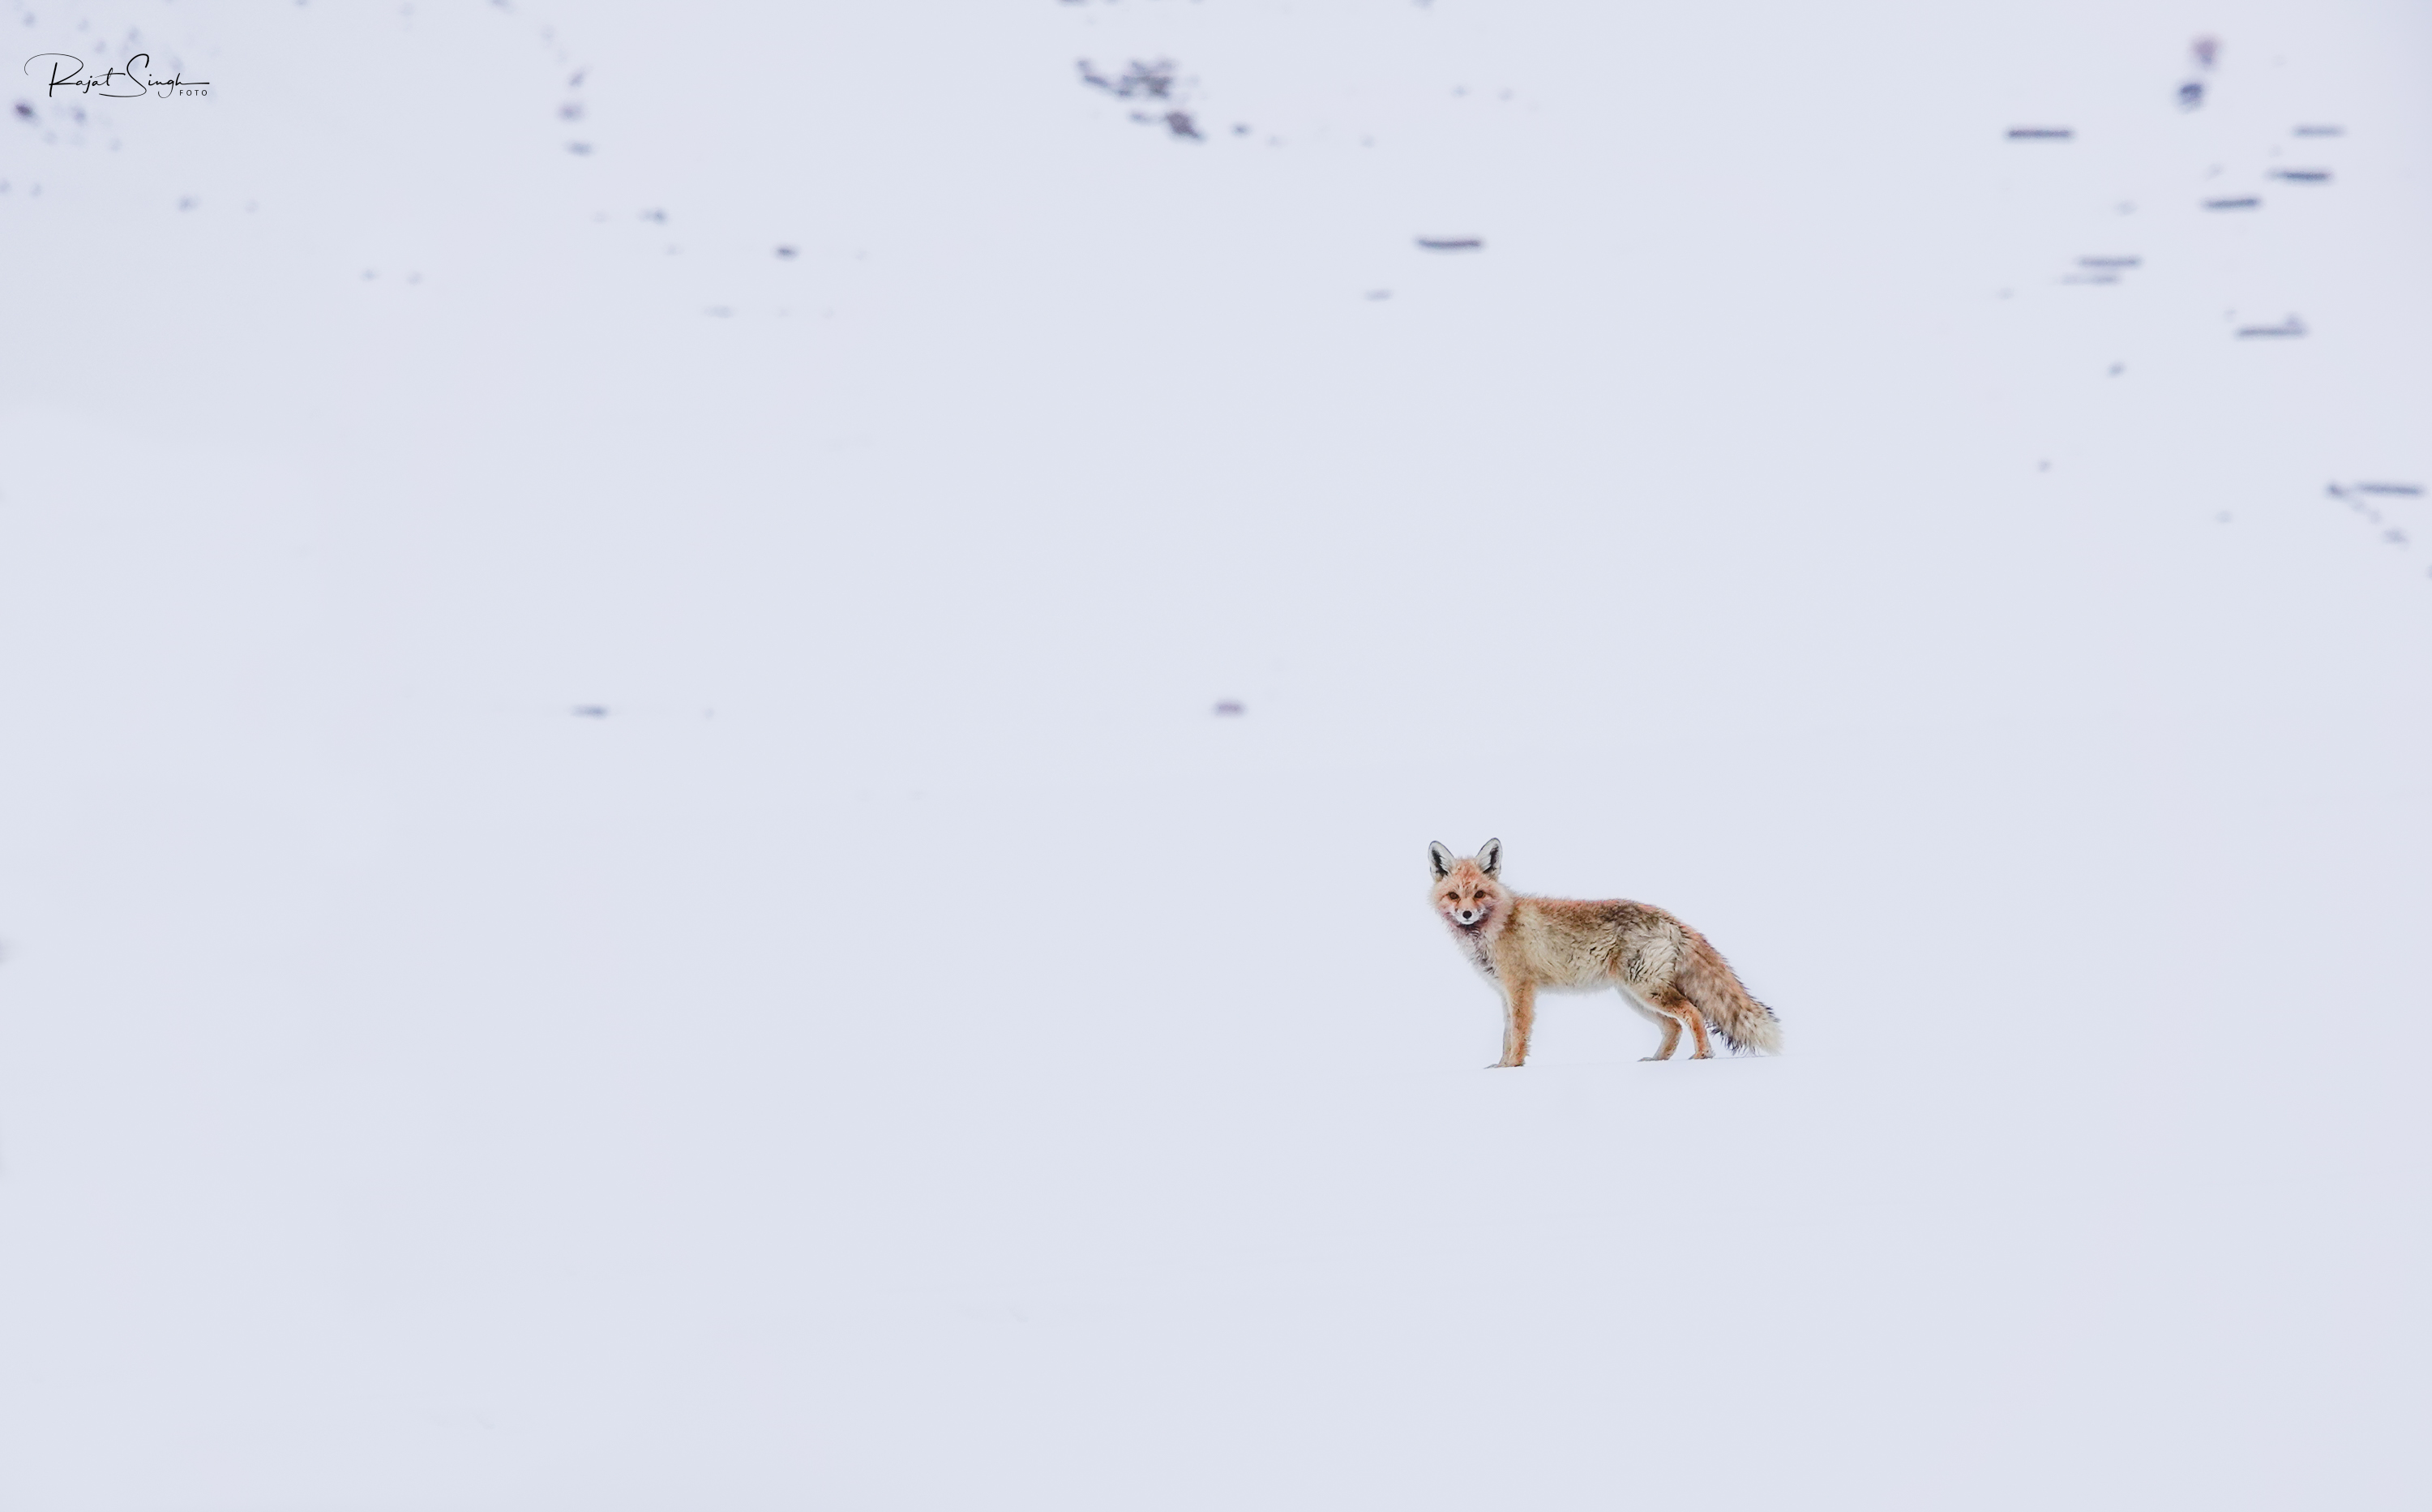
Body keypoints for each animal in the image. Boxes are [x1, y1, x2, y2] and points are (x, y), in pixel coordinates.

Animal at [1428, 838, 1782, 1068]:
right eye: (1454, 896)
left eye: (1479, 894)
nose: (1466, 914)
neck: (1499, 922)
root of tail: (1669, 917)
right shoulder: (1505, 993)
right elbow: (1506, 1035)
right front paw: (1500, 1067)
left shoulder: (1521, 989)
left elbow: (1518, 1035)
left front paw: (1513, 1067)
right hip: (1635, 996)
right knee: (1674, 1027)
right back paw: (1658, 1061)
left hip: (1646, 991)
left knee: (1692, 1013)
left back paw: (1702, 1056)